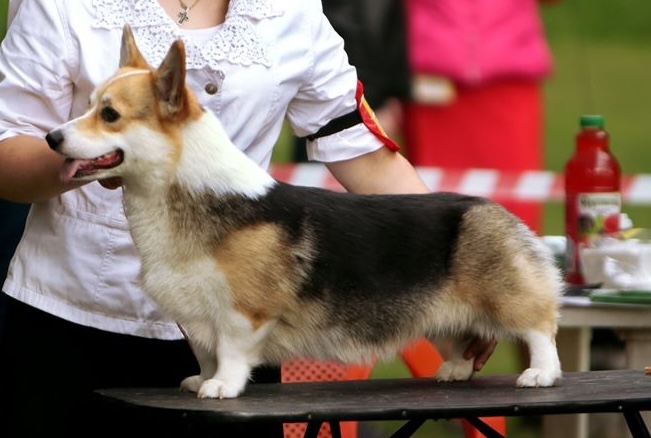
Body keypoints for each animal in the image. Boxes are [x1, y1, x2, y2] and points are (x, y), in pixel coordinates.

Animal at [46, 24, 563, 399]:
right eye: (87, 105)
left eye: (109, 115)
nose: (51, 138)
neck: (183, 191)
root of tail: (497, 209)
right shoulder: (195, 316)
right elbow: (205, 352)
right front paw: (201, 380)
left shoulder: (243, 311)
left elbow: (230, 352)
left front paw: (221, 387)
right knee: (462, 338)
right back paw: (455, 368)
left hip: (506, 298)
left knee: (540, 327)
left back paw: (540, 375)